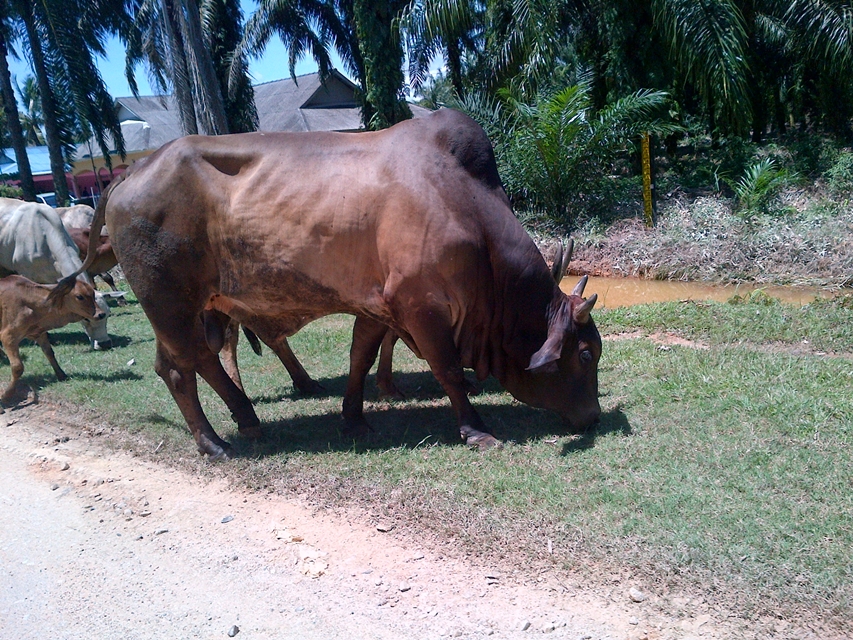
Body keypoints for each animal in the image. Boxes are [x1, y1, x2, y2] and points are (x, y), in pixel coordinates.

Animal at [78, 110, 600, 460]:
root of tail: (133, 170)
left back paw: (247, 420)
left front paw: (354, 419)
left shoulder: (376, 307)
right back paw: (214, 443)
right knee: (179, 370)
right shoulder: (420, 307)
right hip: (170, 304)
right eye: (585, 354)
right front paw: (476, 430)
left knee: (196, 360)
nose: (593, 417)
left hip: (192, 307)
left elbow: (359, 359)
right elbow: (449, 371)